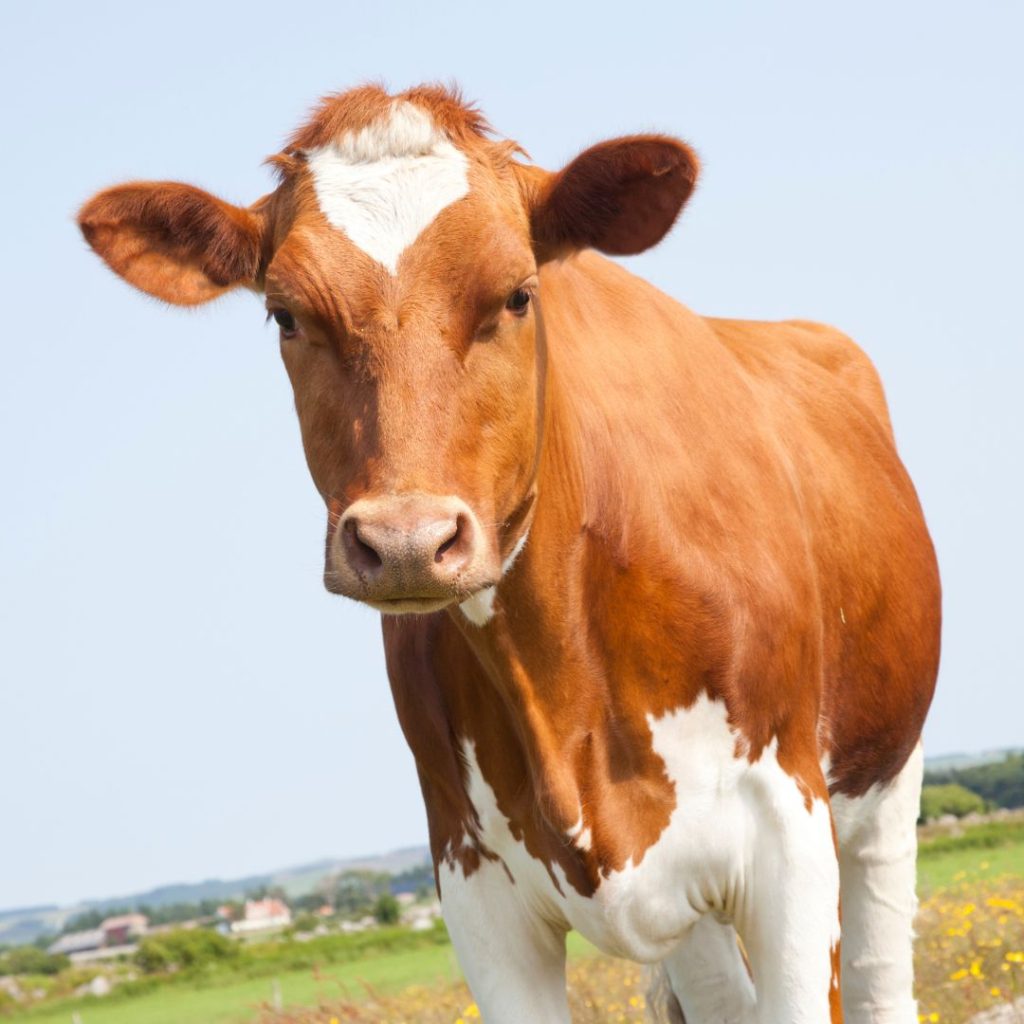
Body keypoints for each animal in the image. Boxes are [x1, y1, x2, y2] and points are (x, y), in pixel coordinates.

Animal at [78, 84, 941, 1024]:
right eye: (285, 314)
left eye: (520, 294)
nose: (406, 541)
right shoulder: (474, 885)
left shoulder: (789, 836)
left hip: (885, 788)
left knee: (880, 974)